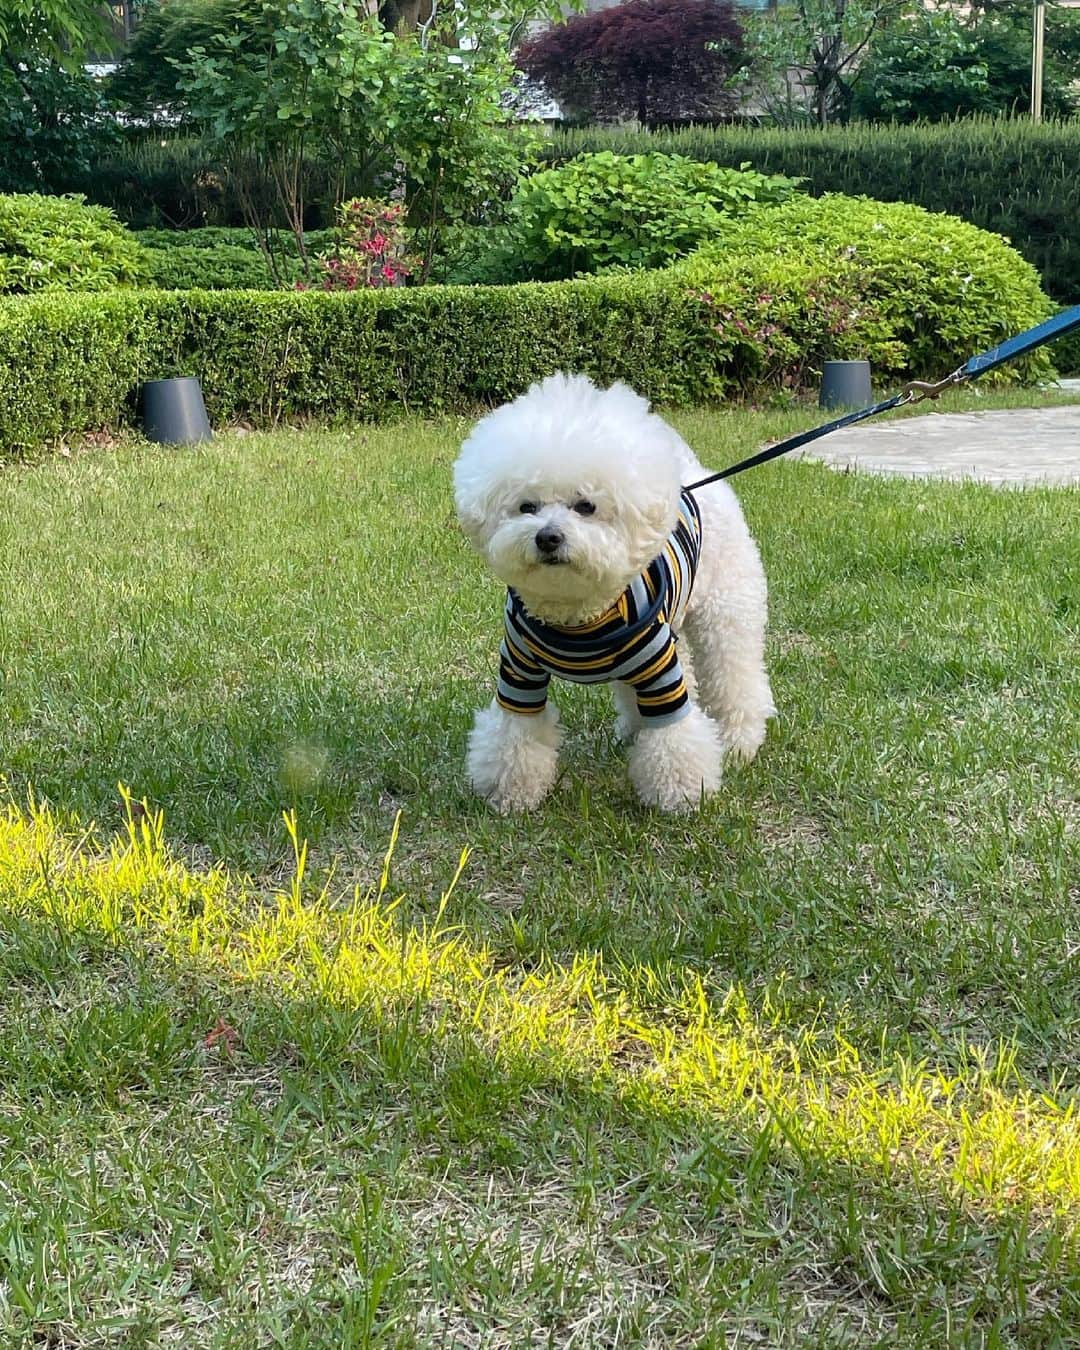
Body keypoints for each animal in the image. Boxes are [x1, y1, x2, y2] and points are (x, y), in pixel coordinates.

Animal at [450, 369, 772, 810]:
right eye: (526, 506)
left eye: (585, 506)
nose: (548, 538)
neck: (576, 616)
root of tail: (690, 476)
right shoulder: (519, 670)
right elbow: (514, 735)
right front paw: (511, 794)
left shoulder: (658, 668)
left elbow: (674, 734)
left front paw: (679, 794)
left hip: (727, 609)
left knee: (735, 674)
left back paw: (739, 742)